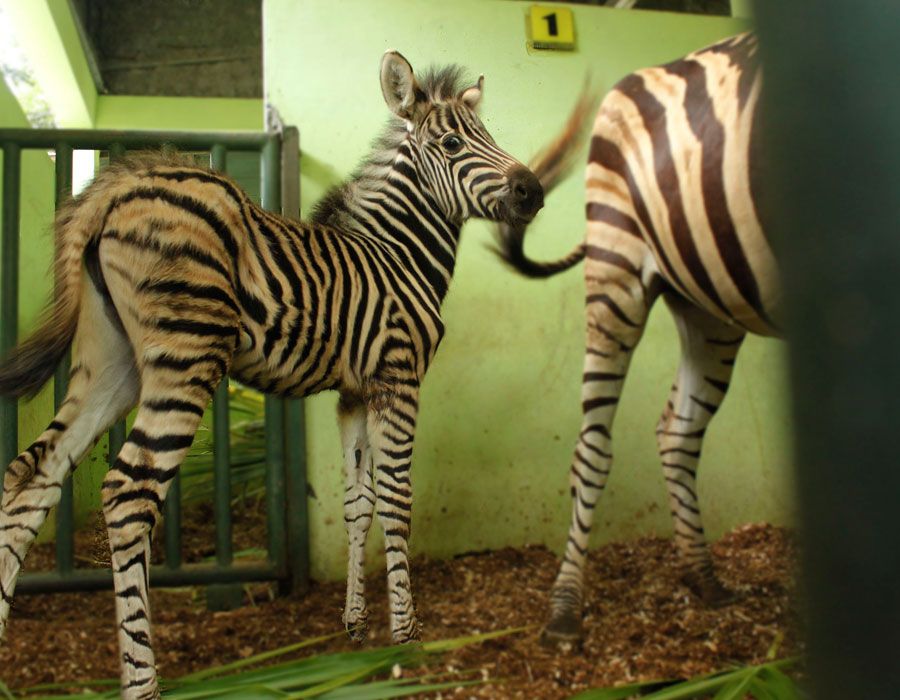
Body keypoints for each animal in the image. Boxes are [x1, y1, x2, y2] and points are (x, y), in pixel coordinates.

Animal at [0, 52, 540, 696]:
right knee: (128, 492)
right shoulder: (397, 377)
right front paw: (408, 639)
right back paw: (142, 682)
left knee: (33, 477)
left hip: (110, 365)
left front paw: (356, 626)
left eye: (491, 135)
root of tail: (119, 183)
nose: (534, 189)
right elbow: (395, 496)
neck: (399, 254)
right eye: (455, 143)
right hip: (186, 357)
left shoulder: (353, 394)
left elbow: (357, 501)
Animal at [492, 32, 772, 644]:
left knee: (677, 431)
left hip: (707, 302)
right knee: (592, 449)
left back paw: (704, 578)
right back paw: (565, 611)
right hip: (616, 273)